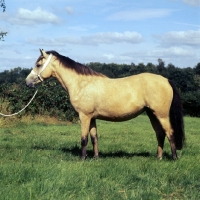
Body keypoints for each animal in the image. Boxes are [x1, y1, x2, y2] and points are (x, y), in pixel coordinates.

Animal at [25, 49, 185, 160]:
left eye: (38, 64)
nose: (27, 82)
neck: (82, 83)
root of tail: (166, 80)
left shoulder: (84, 116)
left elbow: (84, 139)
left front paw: (82, 158)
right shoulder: (92, 118)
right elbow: (94, 137)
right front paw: (96, 157)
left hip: (161, 115)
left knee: (170, 133)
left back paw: (174, 158)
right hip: (152, 114)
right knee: (160, 134)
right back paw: (159, 157)